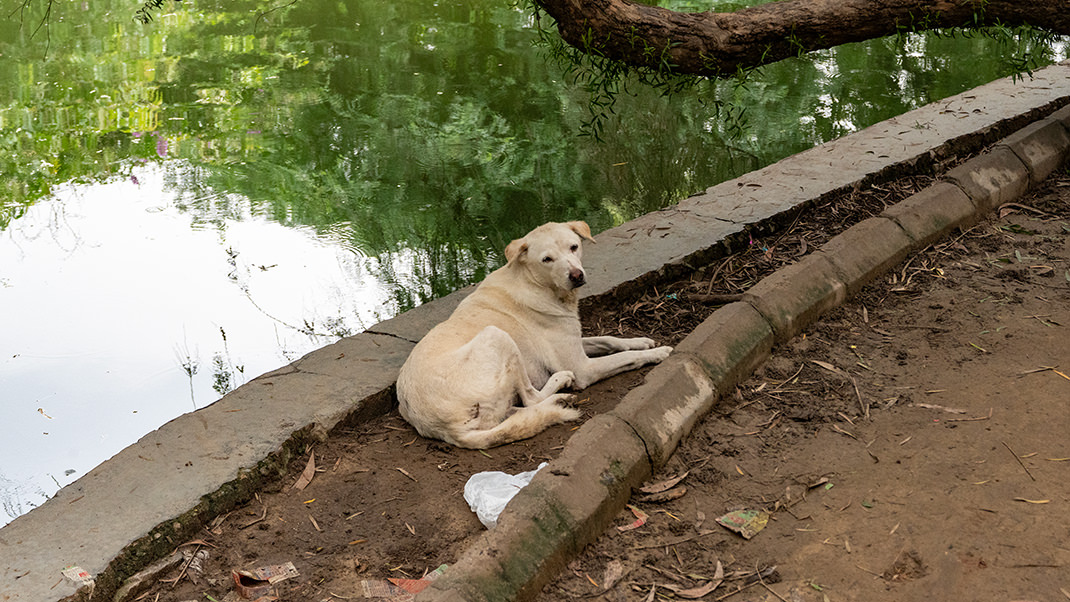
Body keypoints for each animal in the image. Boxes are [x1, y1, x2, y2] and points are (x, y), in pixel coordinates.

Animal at [398, 220, 671, 446]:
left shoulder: (574, 342)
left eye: (574, 247)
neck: (535, 283)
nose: (576, 276)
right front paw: (658, 353)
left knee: (516, 413)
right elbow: (625, 358)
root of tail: (440, 427)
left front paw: (641, 341)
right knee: (531, 398)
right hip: (497, 335)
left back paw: (559, 401)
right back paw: (560, 382)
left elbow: (609, 340)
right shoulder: (583, 367)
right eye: (547, 259)